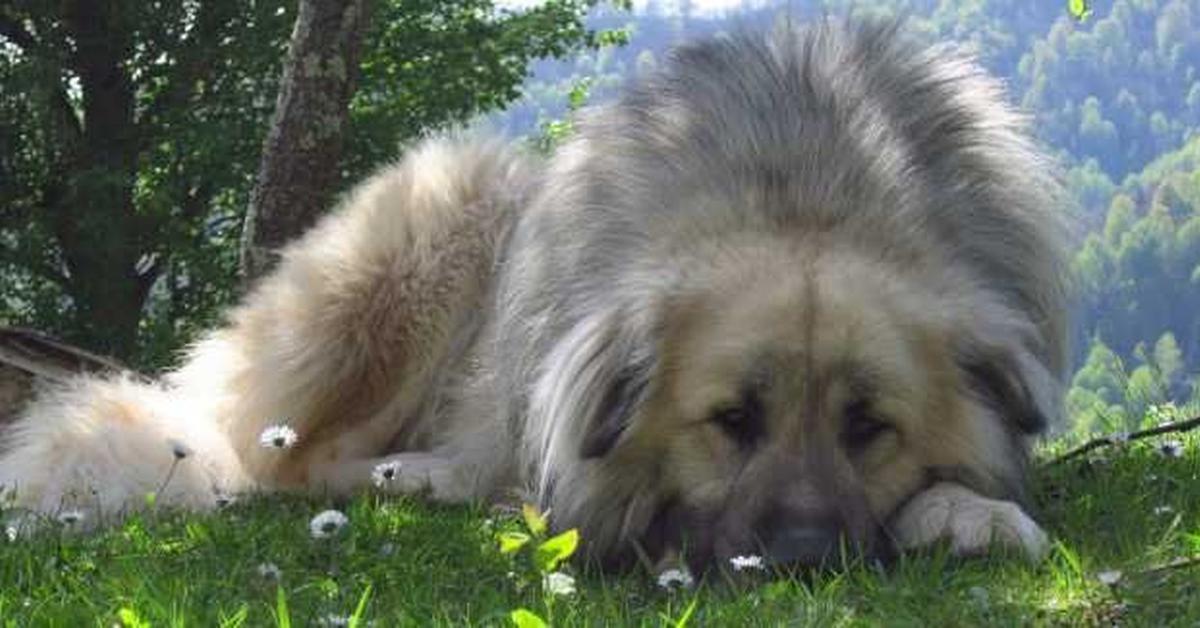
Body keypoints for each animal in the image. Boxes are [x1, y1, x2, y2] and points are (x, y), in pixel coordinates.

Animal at [0, 19, 1070, 571]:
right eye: (731, 420)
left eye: (870, 427)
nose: (806, 558)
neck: (803, 186)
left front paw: (970, 514)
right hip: (444, 215)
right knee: (291, 461)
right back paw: (427, 478)